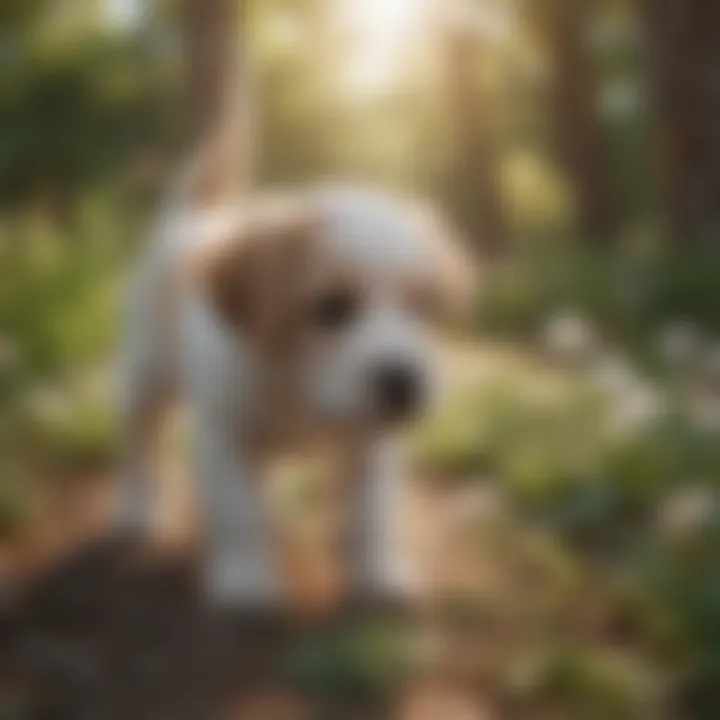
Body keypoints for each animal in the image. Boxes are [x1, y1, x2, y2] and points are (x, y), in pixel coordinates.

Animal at [118, 160, 472, 604]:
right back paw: (136, 508)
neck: (298, 390)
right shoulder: (225, 435)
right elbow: (239, 510)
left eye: (423, 304)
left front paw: (375, 572)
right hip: (144, 378)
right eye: (331, 306)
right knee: (140, 445)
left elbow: (369, 513)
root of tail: (194, 216)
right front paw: (246, 578)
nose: (403, 382)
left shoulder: (372, 445)